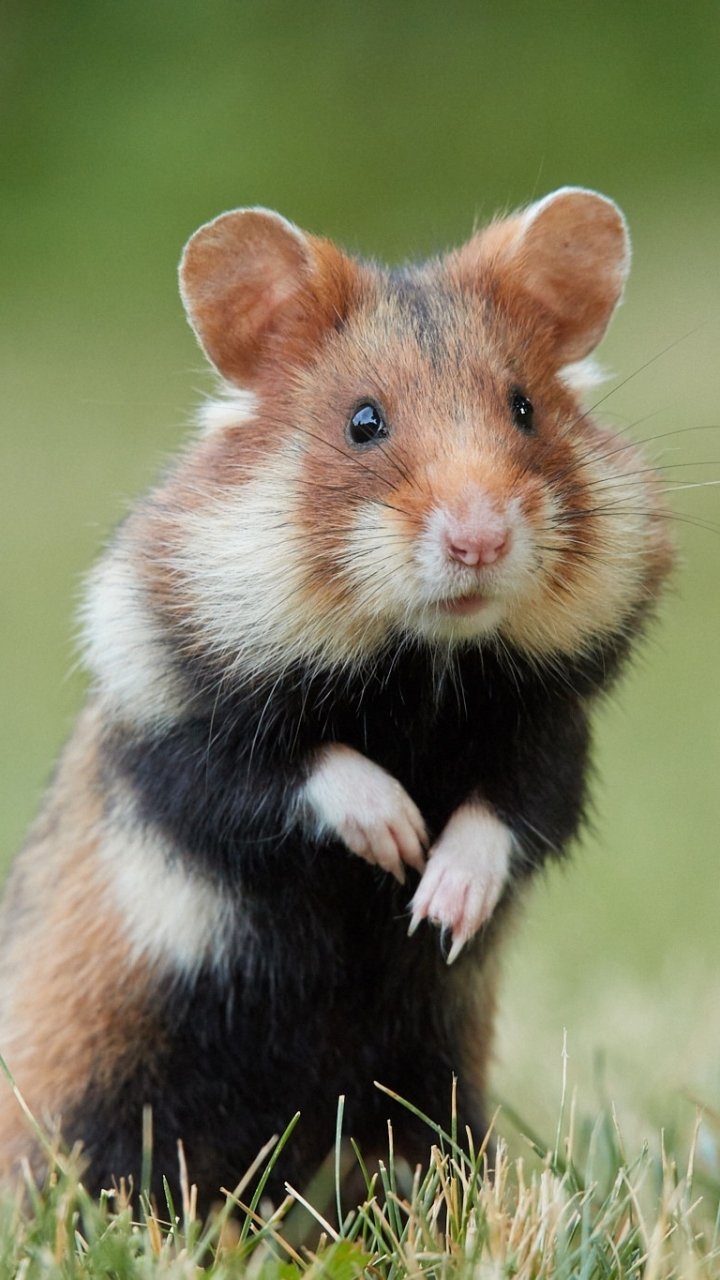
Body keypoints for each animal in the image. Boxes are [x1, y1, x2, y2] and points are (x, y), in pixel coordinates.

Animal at [0, 188, 673, 1209]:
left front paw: (437, 906)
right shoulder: (172, 726)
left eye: (524, 408)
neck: (422, 668)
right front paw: (397, 839)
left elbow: (507, 813)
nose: (480, 540)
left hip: (430, 1078)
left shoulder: (554, 739)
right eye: (364, 422)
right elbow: (297, 769)